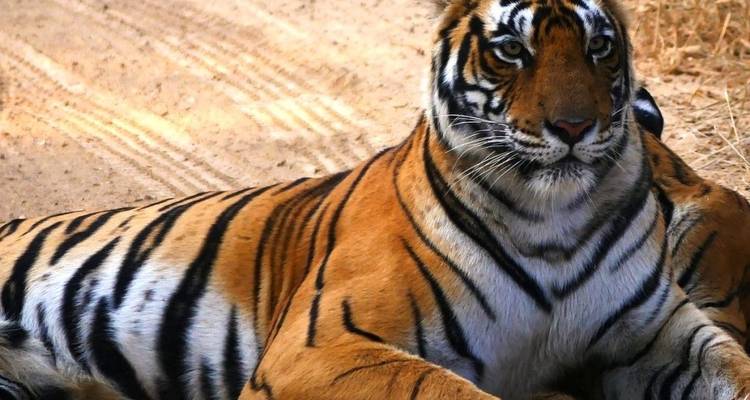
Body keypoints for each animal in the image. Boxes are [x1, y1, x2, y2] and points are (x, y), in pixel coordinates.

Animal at [1, 0, 750, 399]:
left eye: (600, 47)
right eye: (512, 49)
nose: (573, 127)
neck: (553, 222)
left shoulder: (658, 335)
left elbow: (734, 363)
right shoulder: (323, 344)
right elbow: (446, 388)